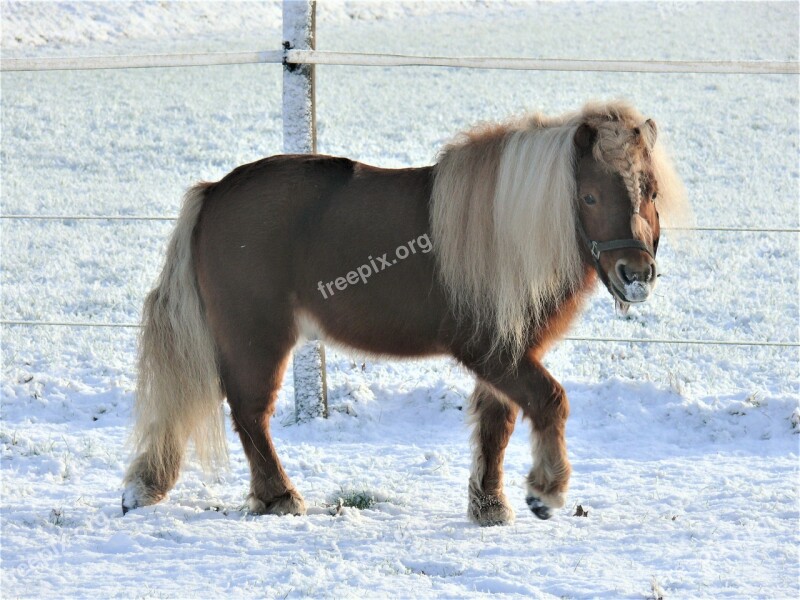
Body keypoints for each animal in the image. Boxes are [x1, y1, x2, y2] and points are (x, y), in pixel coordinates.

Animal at [120, 99, 688, 524]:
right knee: (249, 412)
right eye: (588, 196)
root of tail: (213, 192)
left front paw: (489, 506)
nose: (636, 276)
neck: (507, 232)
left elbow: (497, 422)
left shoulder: (510, 350)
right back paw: (279, 497)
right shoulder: (489, 349)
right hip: (257, 337)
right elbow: (550, 400)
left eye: (652, 191)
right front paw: (545, 492)